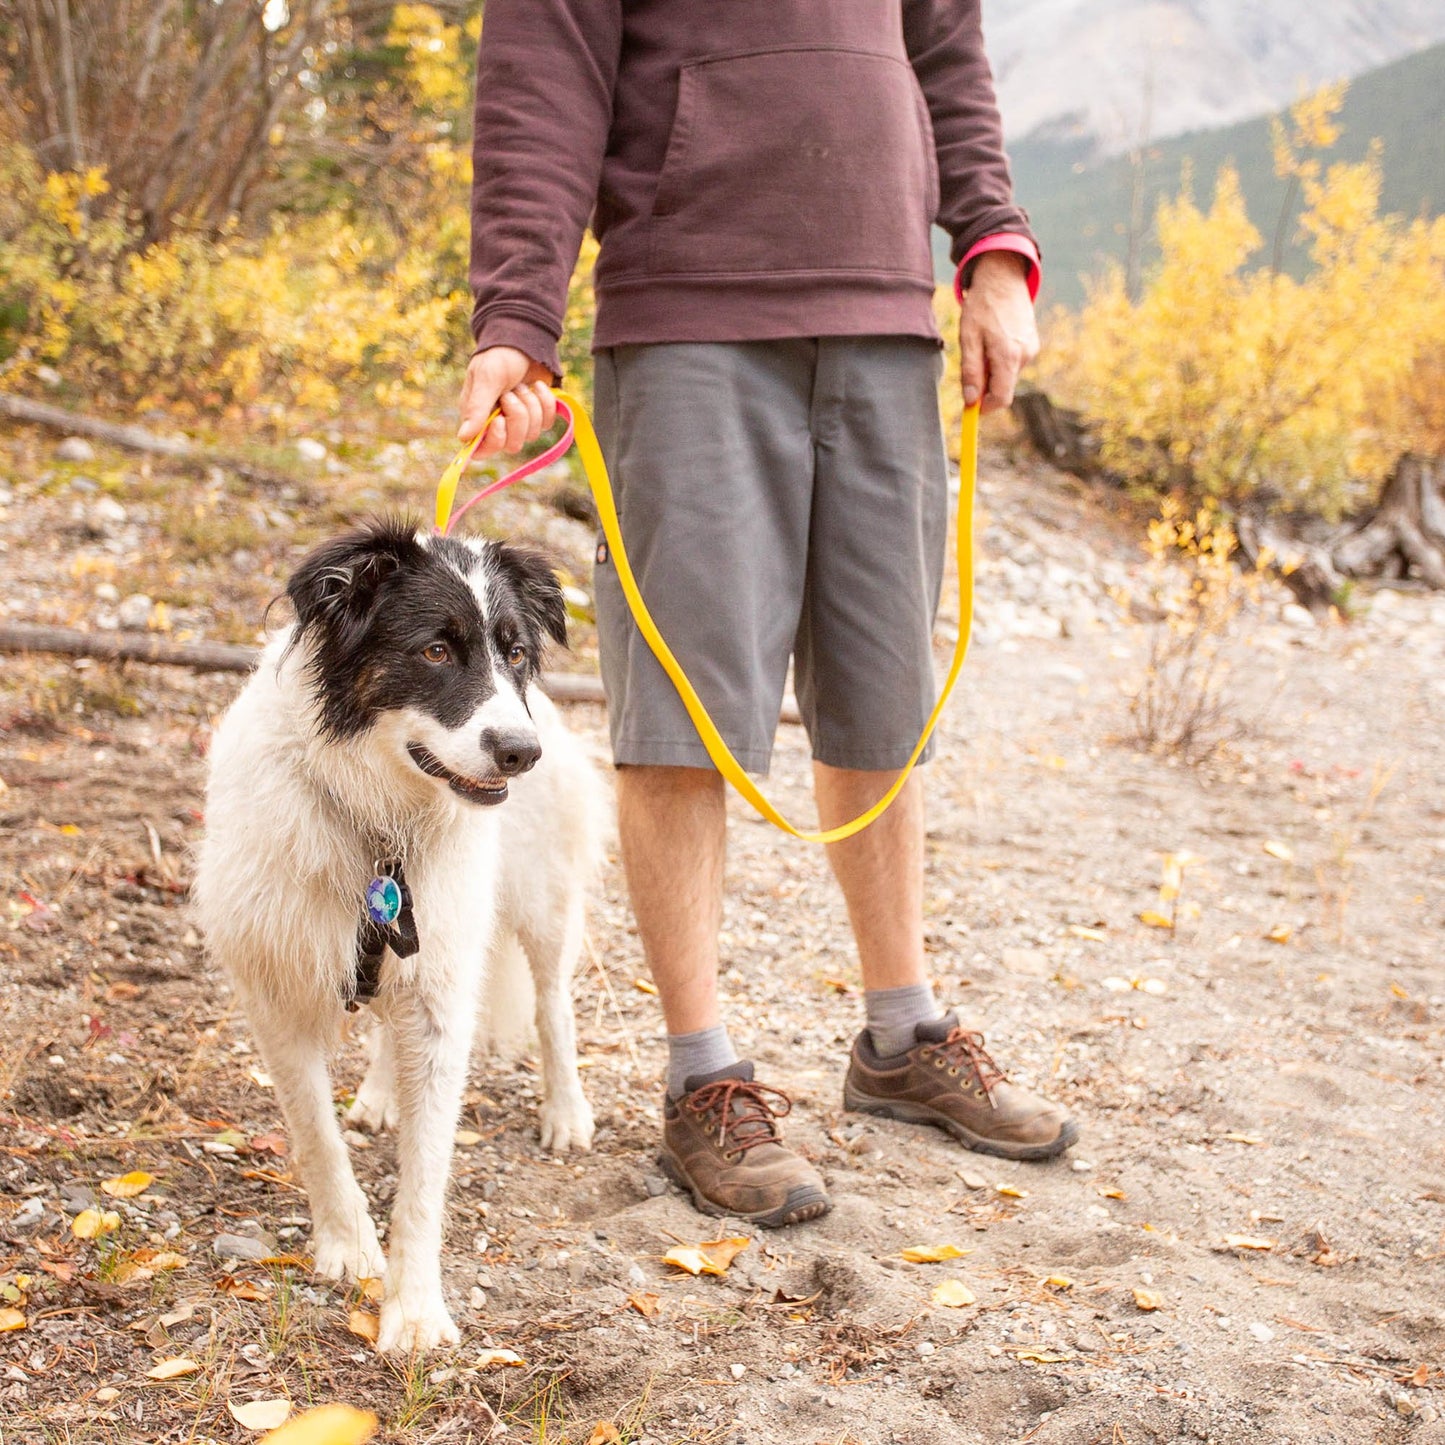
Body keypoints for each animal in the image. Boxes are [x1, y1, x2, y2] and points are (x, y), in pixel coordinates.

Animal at [193, 520, 598, 1352]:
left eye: (514, 652)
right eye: (435, 650)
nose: (521, 751)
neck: (377, 816)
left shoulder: (441, 994)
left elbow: (425, 1171)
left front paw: (413, 1309)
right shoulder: (276, 991)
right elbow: (315, 1134)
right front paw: (349, 1247)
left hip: (541, 895)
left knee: (551, 1001)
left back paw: (565, 1110)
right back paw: (380, 1093)